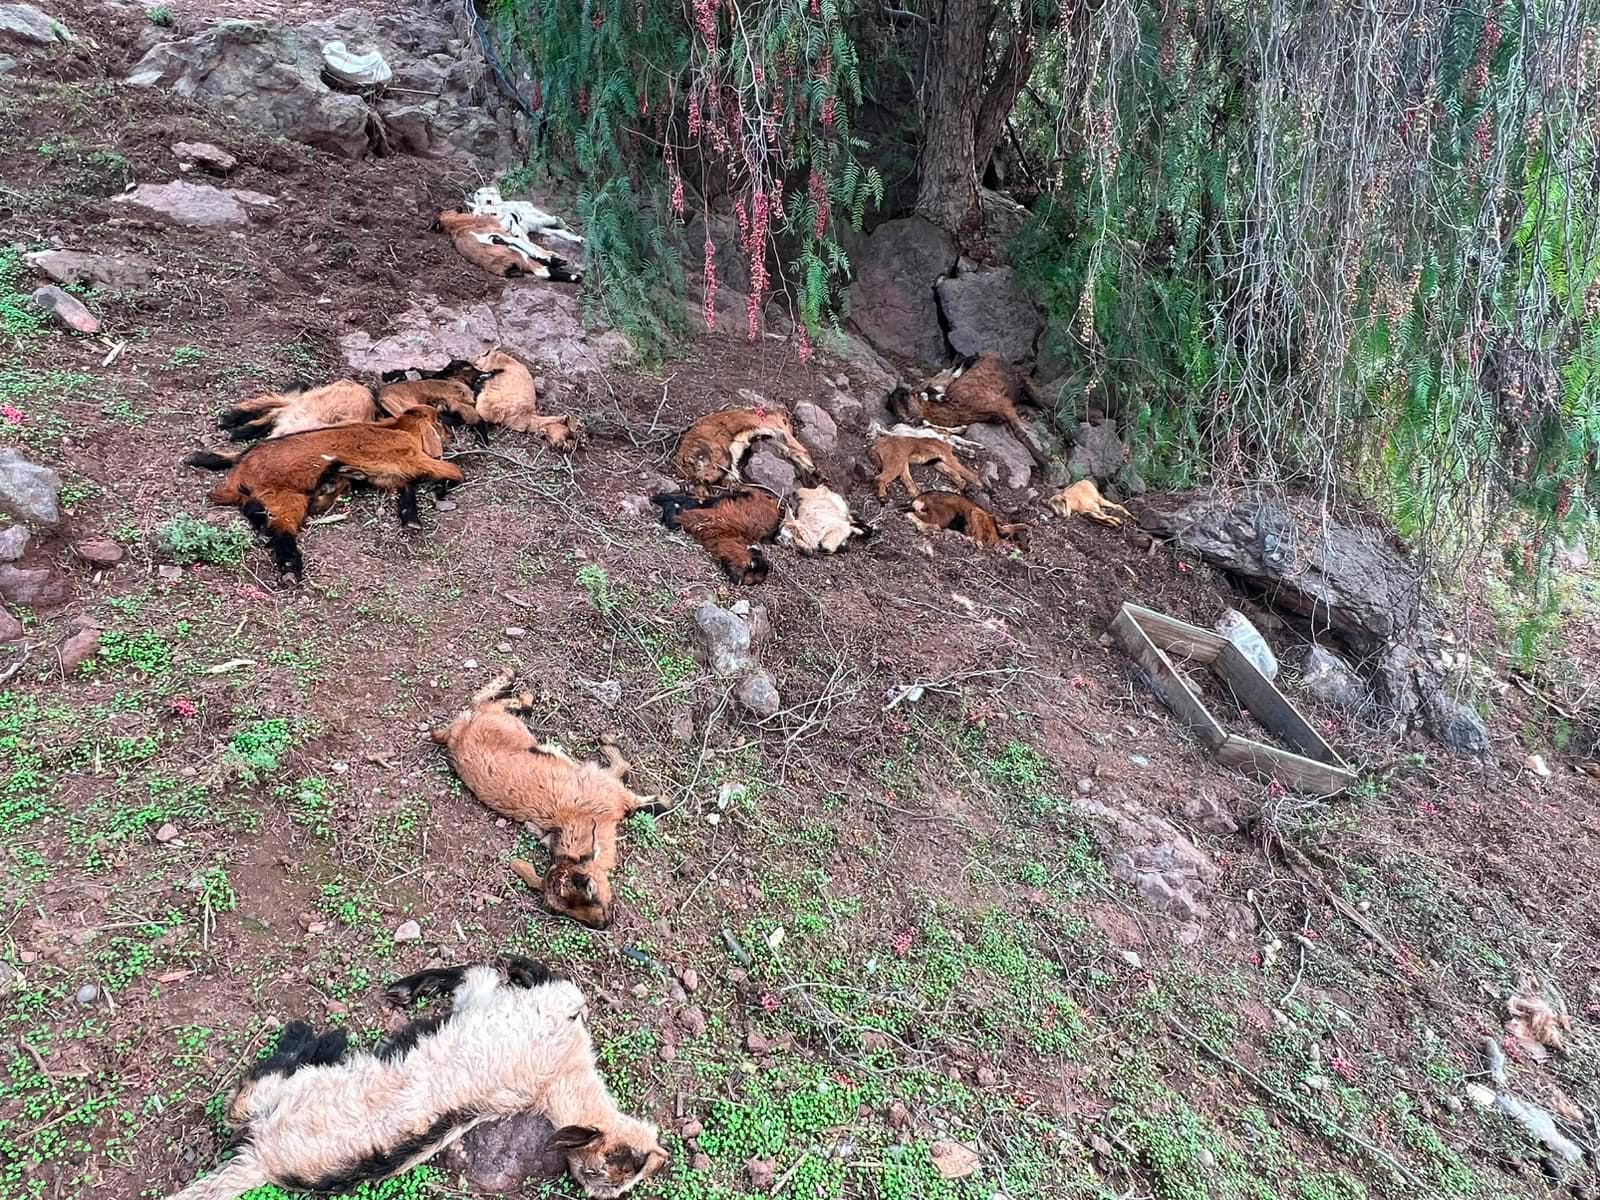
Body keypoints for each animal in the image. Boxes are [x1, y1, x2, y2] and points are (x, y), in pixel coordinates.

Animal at [162, 958, 668, 1200]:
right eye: (598, 1169)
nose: (592, 1187)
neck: (561, 1073)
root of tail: (263, 1163)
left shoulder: (491, 1006)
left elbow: (483, 975)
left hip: (290, 1093)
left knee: (243, 1099)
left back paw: (314, 1037)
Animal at [185, 408, 463, 580]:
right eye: (440, 421)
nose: (452, 435)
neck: (398, 429)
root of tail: (239, 477)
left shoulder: (390, 474)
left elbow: (407, 486)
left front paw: (411, 518)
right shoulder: (408, 458)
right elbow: (452, 470)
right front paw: (441, 487)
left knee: (256, 509)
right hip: (287, 497)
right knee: (282, 530)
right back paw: (290, 568)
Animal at [429, 673, 670, 928]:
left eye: (590, 888)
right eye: (563, 911)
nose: (602, 924)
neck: (584, 818)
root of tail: (454, 735)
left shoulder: (608, 787)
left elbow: (631, 779)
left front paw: (607, 742)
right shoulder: (609, 788)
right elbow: (636, 787)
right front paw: (609, 743)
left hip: (505, 726)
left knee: (480, 705)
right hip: (506, 726)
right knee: (482, 705)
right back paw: (518, 689)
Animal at [887, 353, 1049, 469]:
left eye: (906, 397)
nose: (902, 420)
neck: (957, 408)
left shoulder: (1003, 405)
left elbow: (1021, 434)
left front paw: (1044, 464)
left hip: (1020, 379)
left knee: (1038, 397)